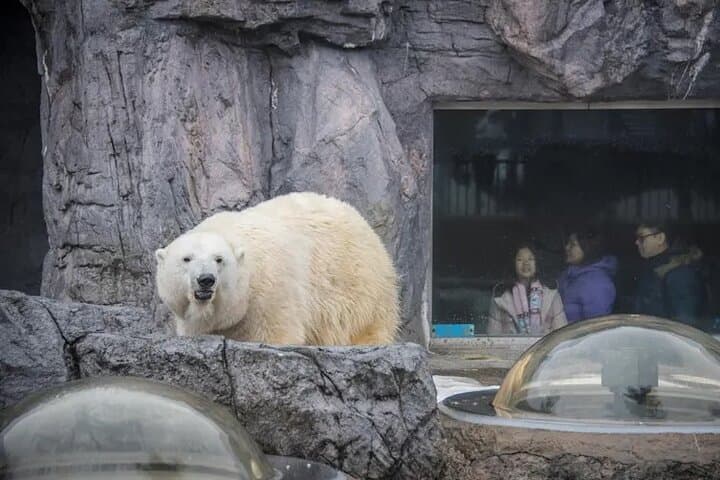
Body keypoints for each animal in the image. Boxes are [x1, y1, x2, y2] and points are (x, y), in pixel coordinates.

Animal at [154, 192, 400, 345]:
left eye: (219, 259)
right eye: (186, 259)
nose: (206, 279)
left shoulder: (270, 290)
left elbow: (276, 333)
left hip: (358, 280)